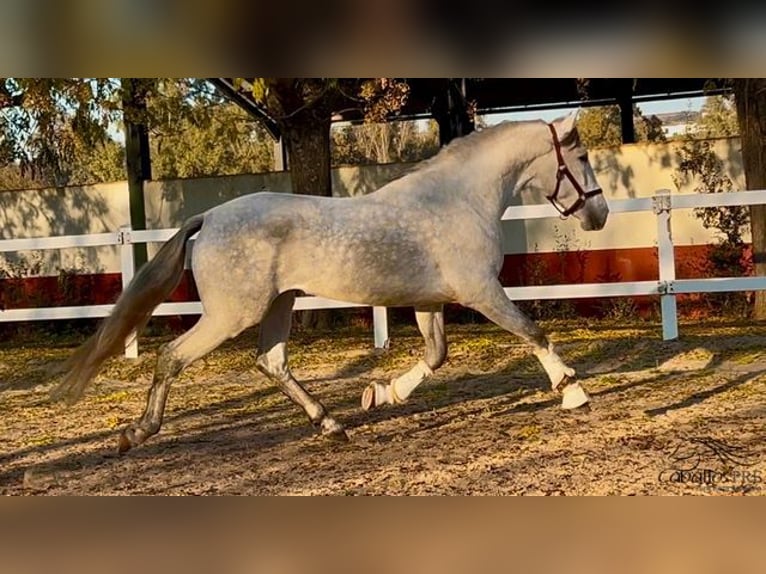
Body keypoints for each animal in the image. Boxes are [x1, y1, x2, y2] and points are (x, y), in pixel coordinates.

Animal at [51, 113, 608, 454]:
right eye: (581, 159)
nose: (599, 214)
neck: (461, 200)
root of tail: (208, 217)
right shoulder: (482, 292)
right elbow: (532, 332)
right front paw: (572, 391)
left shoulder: (430, 302)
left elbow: (435, 356)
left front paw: (381, 394)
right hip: (233, 314)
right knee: (172, 357)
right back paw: (135, 433)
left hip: (280, 305)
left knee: (271, 361)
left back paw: (331, 424)